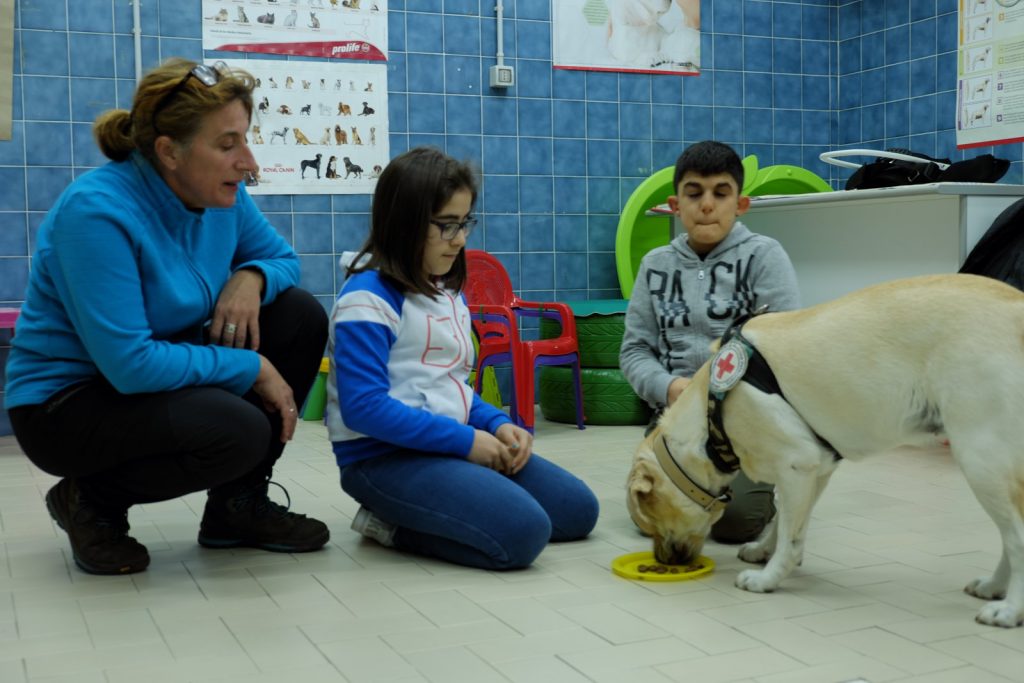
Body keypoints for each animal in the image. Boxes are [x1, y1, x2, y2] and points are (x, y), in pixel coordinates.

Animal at [626, 274, 1024, 626]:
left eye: (651, 519)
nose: (663, 560)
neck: (711, 409)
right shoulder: (815, 468)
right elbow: (787, 521)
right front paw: (763, 551)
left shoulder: (795, 464)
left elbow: (791, 536)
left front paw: (768, 578)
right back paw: (993, 587)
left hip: (981, 460)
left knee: (1018, 538)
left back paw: (1008, 610)